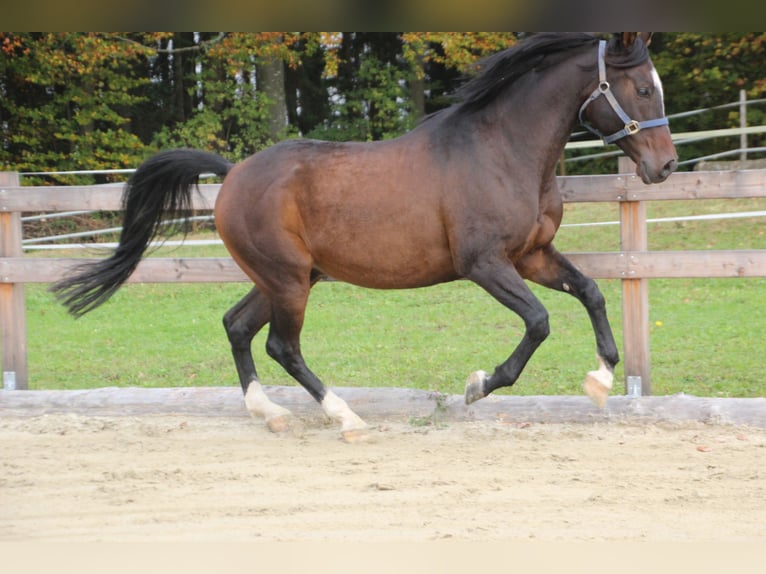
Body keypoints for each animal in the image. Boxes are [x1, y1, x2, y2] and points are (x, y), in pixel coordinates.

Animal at [52, 33, 680, 444]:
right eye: (642, 88)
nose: (666, 166)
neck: (501, 150)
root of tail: (232, 174)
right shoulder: (484, 264)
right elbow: (540, 322)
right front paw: (478, 385)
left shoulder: (531, 256)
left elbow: (591, 292)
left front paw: (600, 380)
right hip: (288, 280)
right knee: (281, 346)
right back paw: (345, 417)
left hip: (289, 277)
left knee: (236, 326)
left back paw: (269, 414)